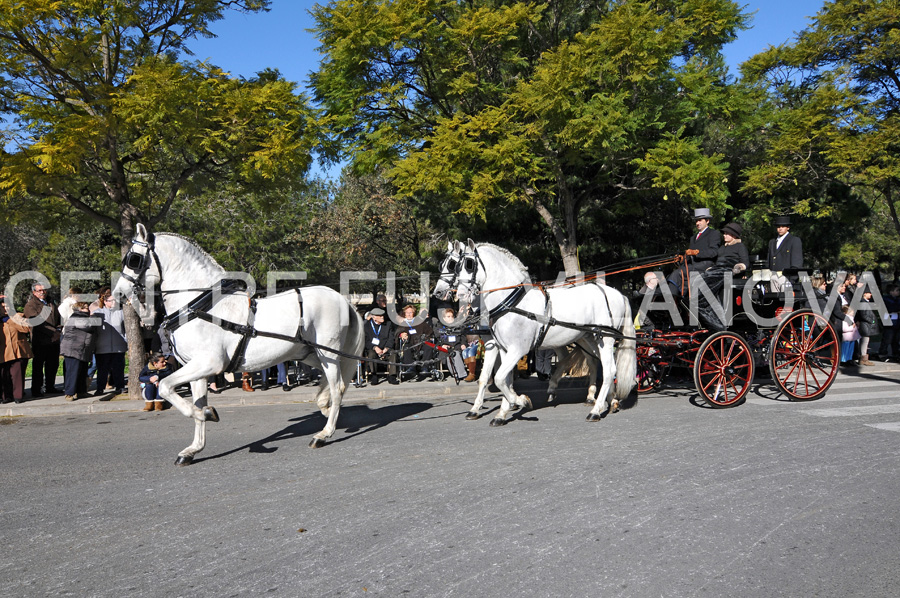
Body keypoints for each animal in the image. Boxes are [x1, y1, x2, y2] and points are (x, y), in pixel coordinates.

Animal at [113, 225, 366, 464]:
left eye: (134, 258)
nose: (118, 294)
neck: (200, 306)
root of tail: (342, 298)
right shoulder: (196, 370)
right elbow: (193, 400)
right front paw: (194, 446)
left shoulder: (210, 364)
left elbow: (165, 386)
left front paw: (206, 414)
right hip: (308, 352)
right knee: (331, 384)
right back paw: (325, 408)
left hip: (327, 352)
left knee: (337, 387)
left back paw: (324, 433)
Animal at [454, 239, 636, 426]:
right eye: (456, 266)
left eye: (469, 264)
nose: (459, 294)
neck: (512, 303)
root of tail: (617, 293)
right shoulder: (504, 349)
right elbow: (505, 380)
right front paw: (502, 413)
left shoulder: (517, 349)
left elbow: (499, 378)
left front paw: (521, 401)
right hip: (591, 338)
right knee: (602, 365)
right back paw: (611, 401)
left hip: (605, 339)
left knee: (608, 370)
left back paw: (596, 410)